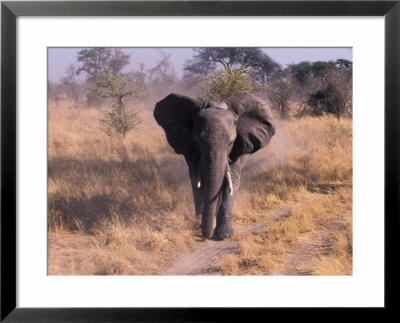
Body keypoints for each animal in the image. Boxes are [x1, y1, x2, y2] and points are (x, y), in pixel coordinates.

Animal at [153, 93, 276, 240]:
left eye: (231, 143)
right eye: (197, 143)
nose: (206, 235)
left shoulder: (239, 148)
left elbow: (232, 181)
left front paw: (224, 234)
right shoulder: (189, 149)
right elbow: (197, 181)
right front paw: (199, 224)